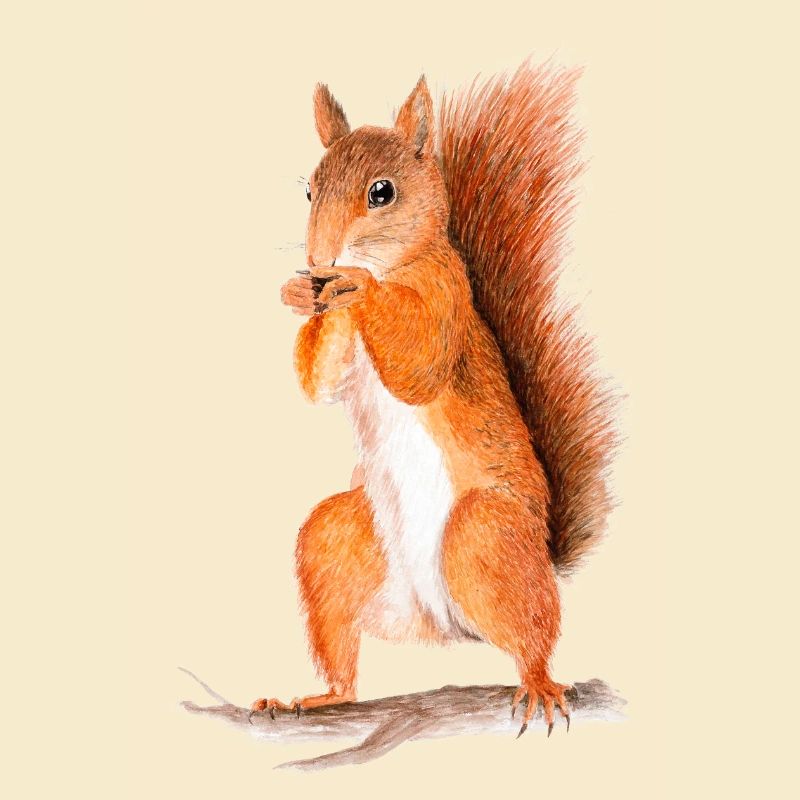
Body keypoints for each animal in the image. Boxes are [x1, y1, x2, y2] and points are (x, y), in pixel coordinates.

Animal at [251, 62, 615, 737]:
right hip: (335, 544)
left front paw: (355, 285)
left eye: (382, 192)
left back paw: (538, 683)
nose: (319, 259)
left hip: (486, 534)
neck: (397, 262)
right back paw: (317, 697)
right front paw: (304, 295)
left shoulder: (447, 294)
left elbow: (418, 366)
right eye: (309, 191)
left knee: (532, 636)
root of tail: (442, 628)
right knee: (342, 650)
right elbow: (321, 383)